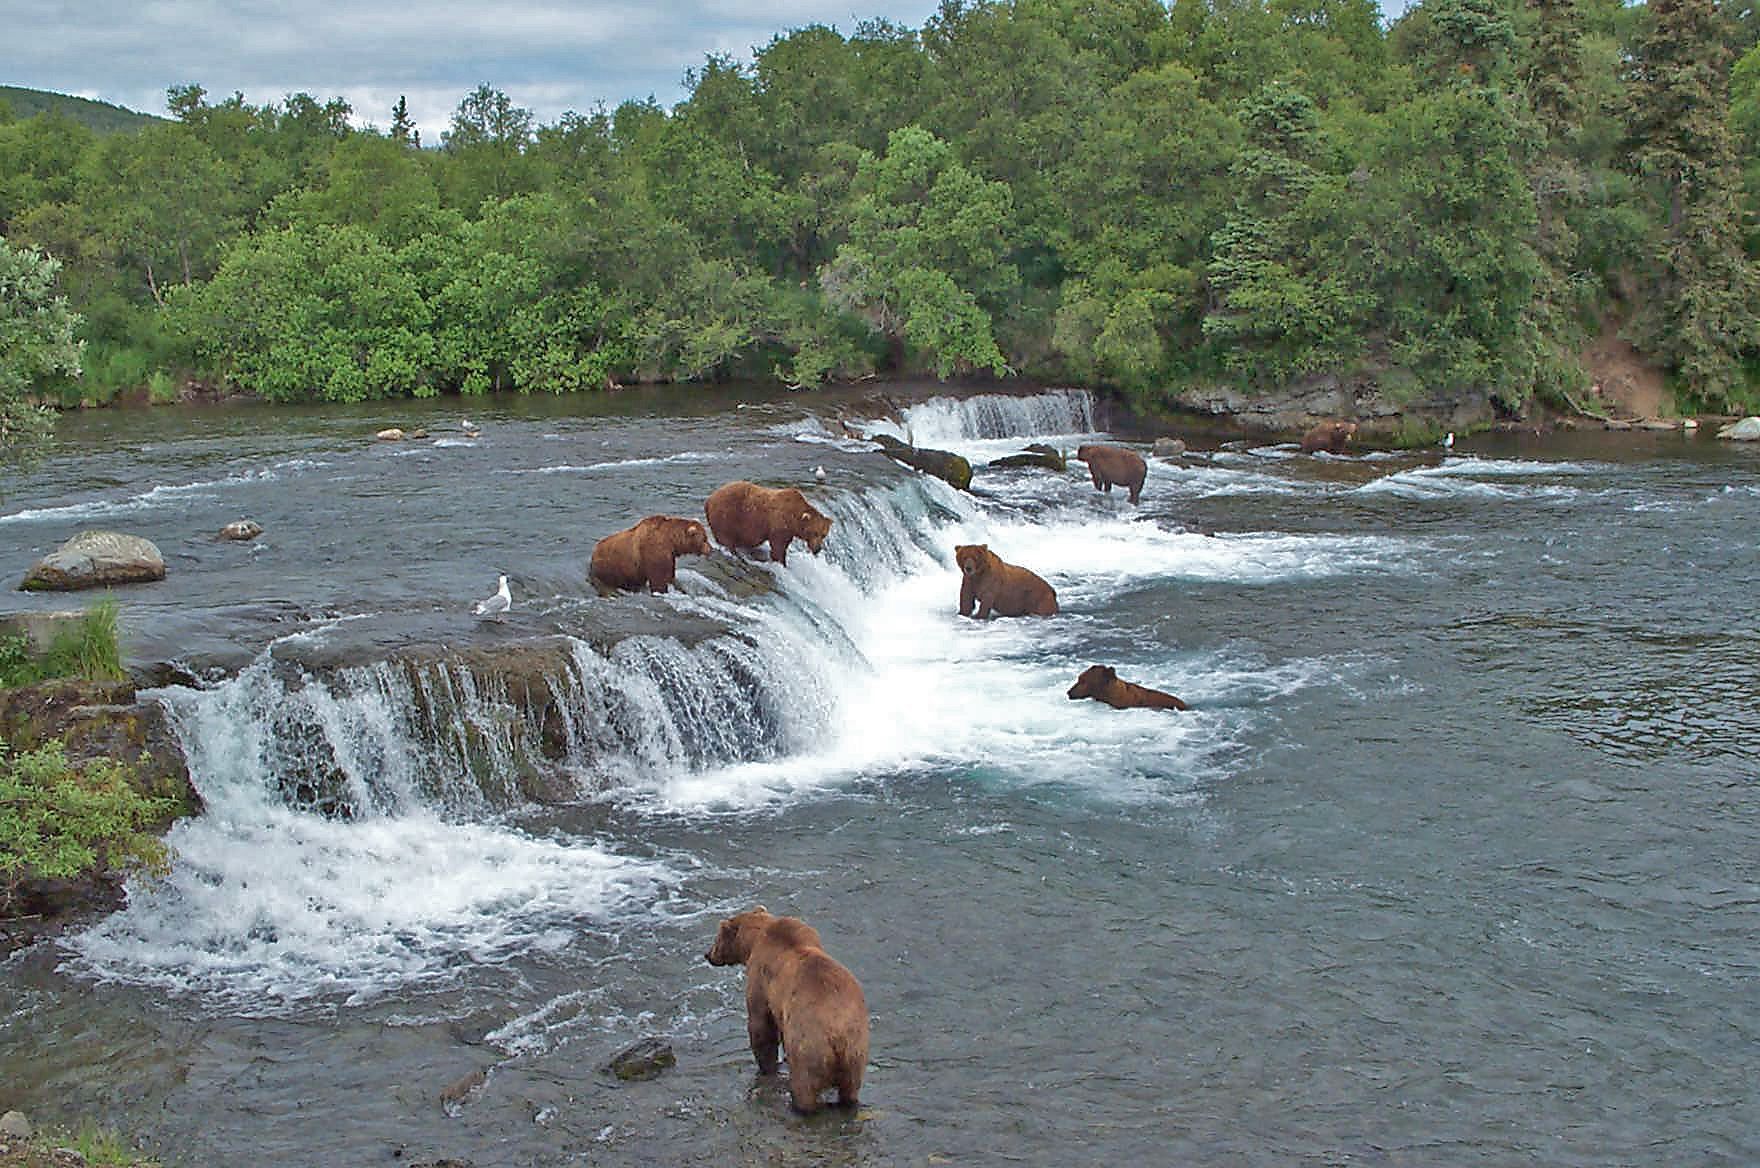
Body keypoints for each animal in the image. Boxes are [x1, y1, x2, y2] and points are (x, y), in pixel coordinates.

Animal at [700, 900, 865, 1111]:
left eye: (717, 938)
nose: (707, 954)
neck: (755, 941)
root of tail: (837, 1037)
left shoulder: (761, 980)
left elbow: (761, 1026)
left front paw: (766, 1066)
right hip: (856, 1050)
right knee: (850, 1089)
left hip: (809, 1046)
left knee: (804, 1086)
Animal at [704, 478, 834, 562]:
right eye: (814, 532)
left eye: (823, 534)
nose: (817, 549)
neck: (793, 518)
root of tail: (709, 499)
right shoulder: (779, 524)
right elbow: (778, 546)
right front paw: (780, 561)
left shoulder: (788, 531)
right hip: (727, 515)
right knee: (726, 538)